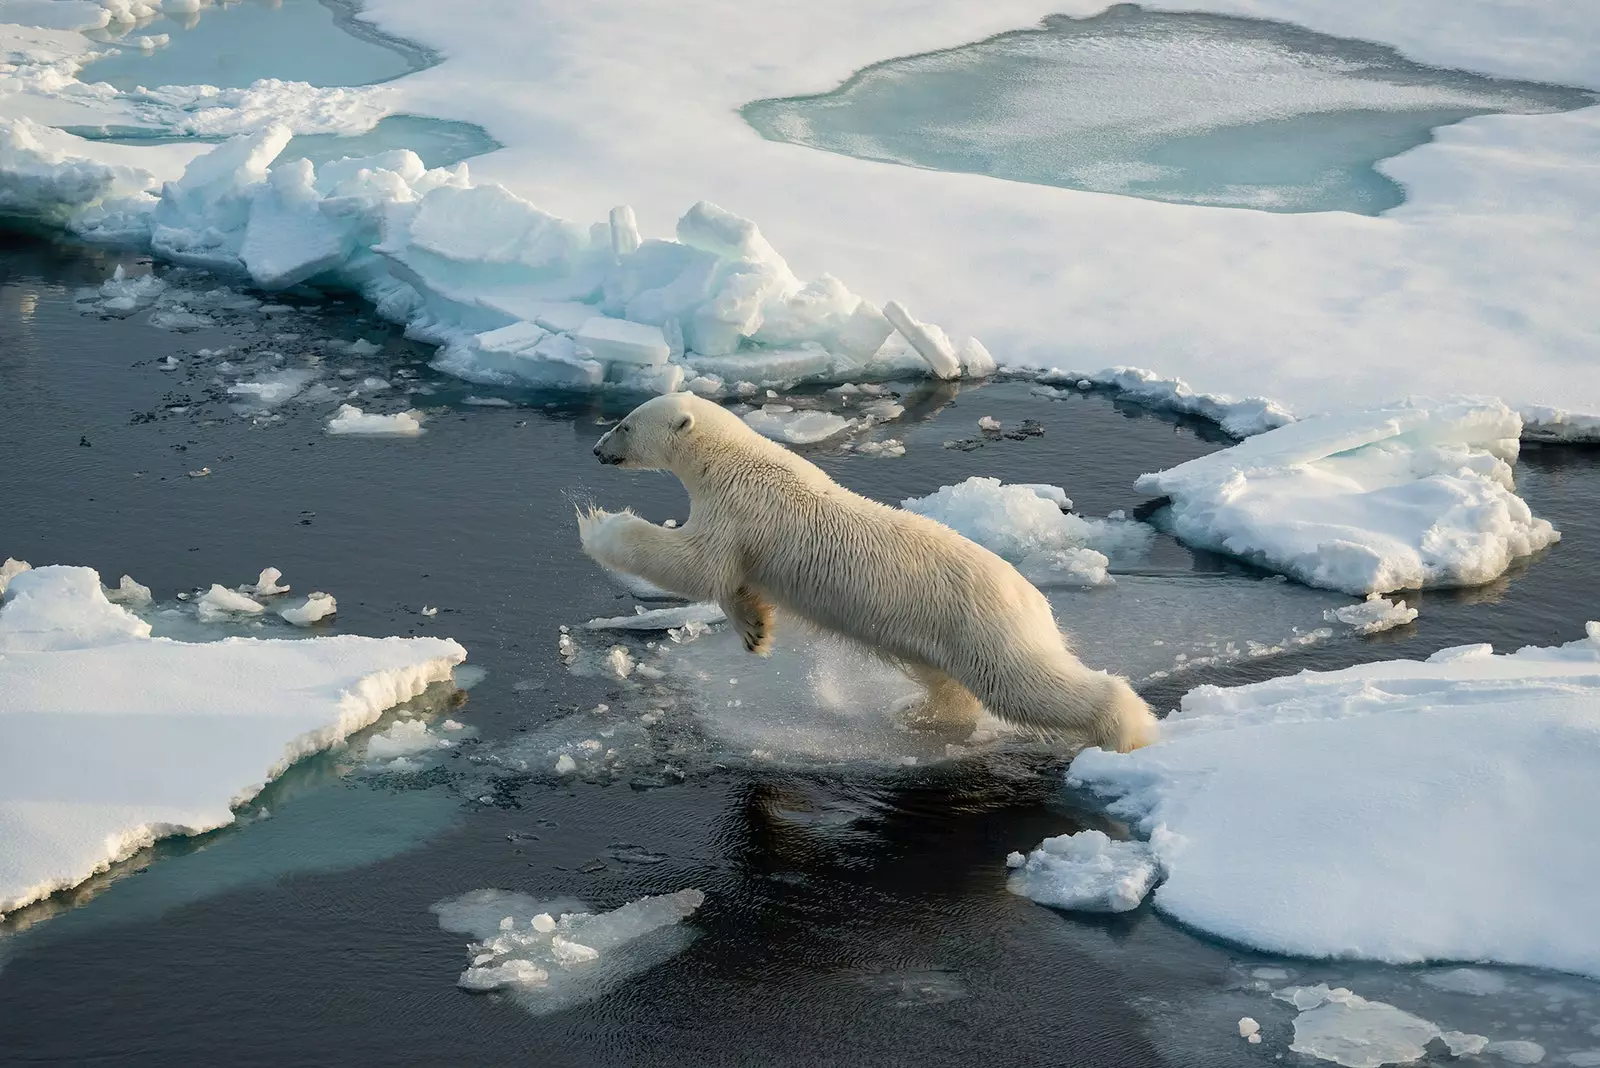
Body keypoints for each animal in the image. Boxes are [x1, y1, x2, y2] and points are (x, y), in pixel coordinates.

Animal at [582, 391, 1158, 751]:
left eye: (624, 424)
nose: (596, 449)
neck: (732, 461)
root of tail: (1034, 598)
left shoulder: (742, 509)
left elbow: (696, 564)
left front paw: (599, 523)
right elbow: (727, 578)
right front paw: (754, 631)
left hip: (985, 627)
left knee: (1025, 684)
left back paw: (1127, 730)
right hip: (942, 634)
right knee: (948, 680)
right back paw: (919, 711)